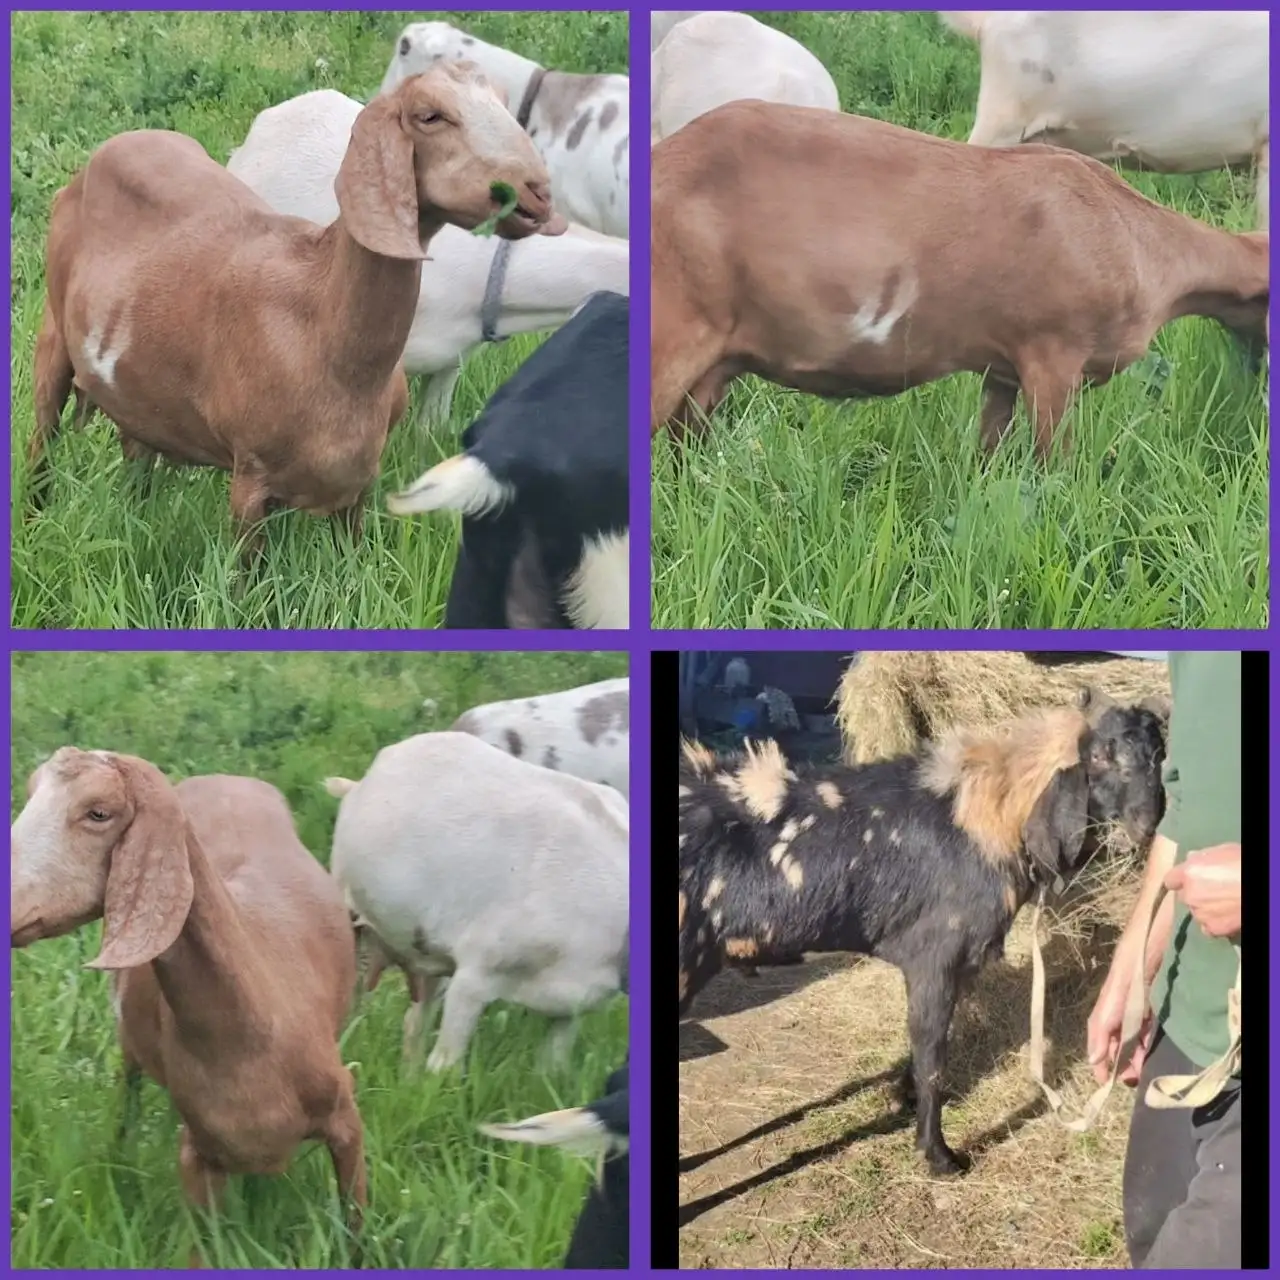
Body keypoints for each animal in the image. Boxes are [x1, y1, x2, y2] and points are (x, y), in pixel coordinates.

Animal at [10, 749, 365, 1234]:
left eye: (98, 813)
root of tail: (225, 776)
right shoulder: (197, 1154)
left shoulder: (346, 1120)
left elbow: (359, 1230)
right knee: (128, 1084)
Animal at [29, 63, 566, 558]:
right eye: (430, 116)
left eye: (504, 102)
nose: (537, 191)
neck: (321, 325)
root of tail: (111, 149)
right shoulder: (250, 477)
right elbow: (248, 582)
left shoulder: (357, 487)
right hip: (53, 335)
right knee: (42, 437)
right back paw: (35, 517)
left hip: (137, 390)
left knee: (135, 453)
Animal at [326, 731, 628, 1071]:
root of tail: (363, 780)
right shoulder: (477, 972)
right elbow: (445, 1065)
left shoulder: (570, 1006)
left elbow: (551, 1068)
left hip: (426, 951)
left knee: (415, 1020)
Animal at [650, 101, 1269, 457]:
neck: (1141, 241)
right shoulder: (1053, 353)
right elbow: (1055, 464)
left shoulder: (1004, 365)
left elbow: (988, 453)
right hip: (671, 329)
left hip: (712, 368)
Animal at [678, 687, 1168, 1174]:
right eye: (1099, 756)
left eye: (1159, 753)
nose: (1149, 824)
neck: (985, 818)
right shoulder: (935, 957)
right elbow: (933, 1055)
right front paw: (939, 1155)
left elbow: (921, 1051)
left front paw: (902, 1097)